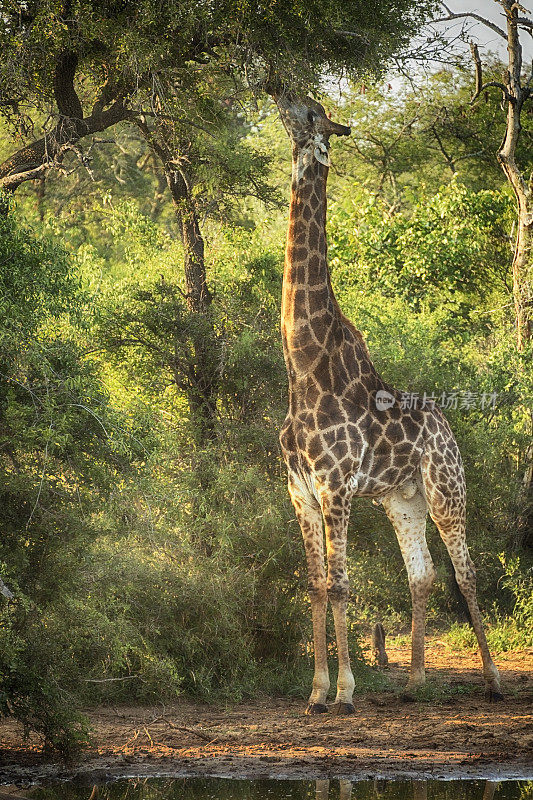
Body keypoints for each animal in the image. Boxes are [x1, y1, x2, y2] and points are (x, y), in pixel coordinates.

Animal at [272, 90, 500, 716]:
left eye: (310, 113)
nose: (276, 92)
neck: (303, 365)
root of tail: (448, 425)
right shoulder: (300, 491)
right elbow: (314, 583)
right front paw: (316, 692)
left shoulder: (335, 487)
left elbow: (340, 583)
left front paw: (346, 692)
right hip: (404, 499)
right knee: (421, 574)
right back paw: (416, 681)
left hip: (447, 489)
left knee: (466, 572)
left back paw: (494, 680)